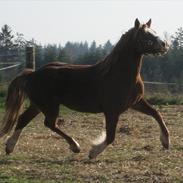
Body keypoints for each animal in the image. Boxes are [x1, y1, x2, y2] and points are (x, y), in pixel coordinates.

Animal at [0, 19, 170, 159]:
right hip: (49, 105)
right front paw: (93, 152)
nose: (165, 45)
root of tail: (32, 74)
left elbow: (157, 114)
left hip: (38, 104)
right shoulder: (112, 110)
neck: (118, 74)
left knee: (24, 119)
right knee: (49, 123)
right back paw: (75, 146)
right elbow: (110, 136)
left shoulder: (136, 102)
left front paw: (165, 142)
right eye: (145, 35)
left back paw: (9, 147)